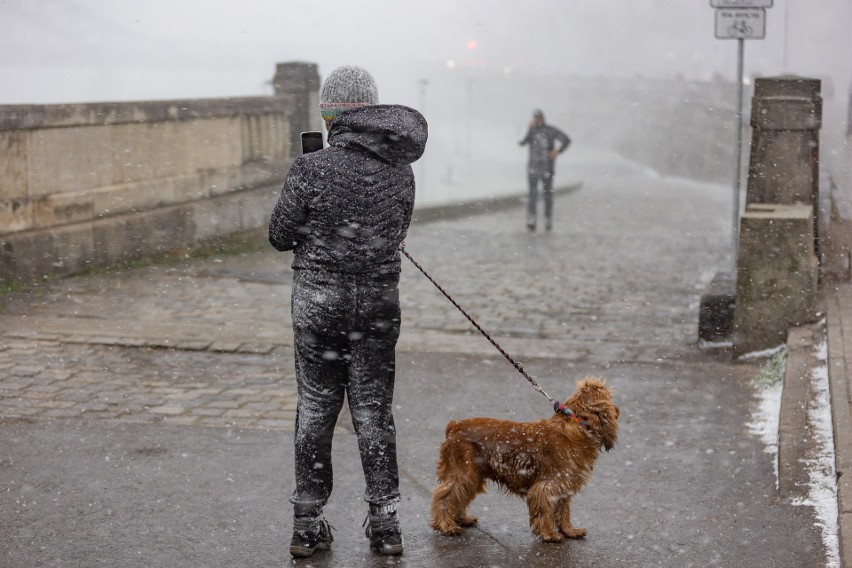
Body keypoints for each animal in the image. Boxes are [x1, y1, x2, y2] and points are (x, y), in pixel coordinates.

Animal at [430, 378, 616, 540]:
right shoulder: (549, 484)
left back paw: (461, 519)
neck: (576, 424)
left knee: (459, 496)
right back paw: (446, 526)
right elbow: (545, 509)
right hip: (464, 472)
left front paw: (569, 531)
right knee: (443, 496)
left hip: (473, 475)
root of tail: (454, 425)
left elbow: (563, 511)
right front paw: (549, 534)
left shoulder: (565, 484)